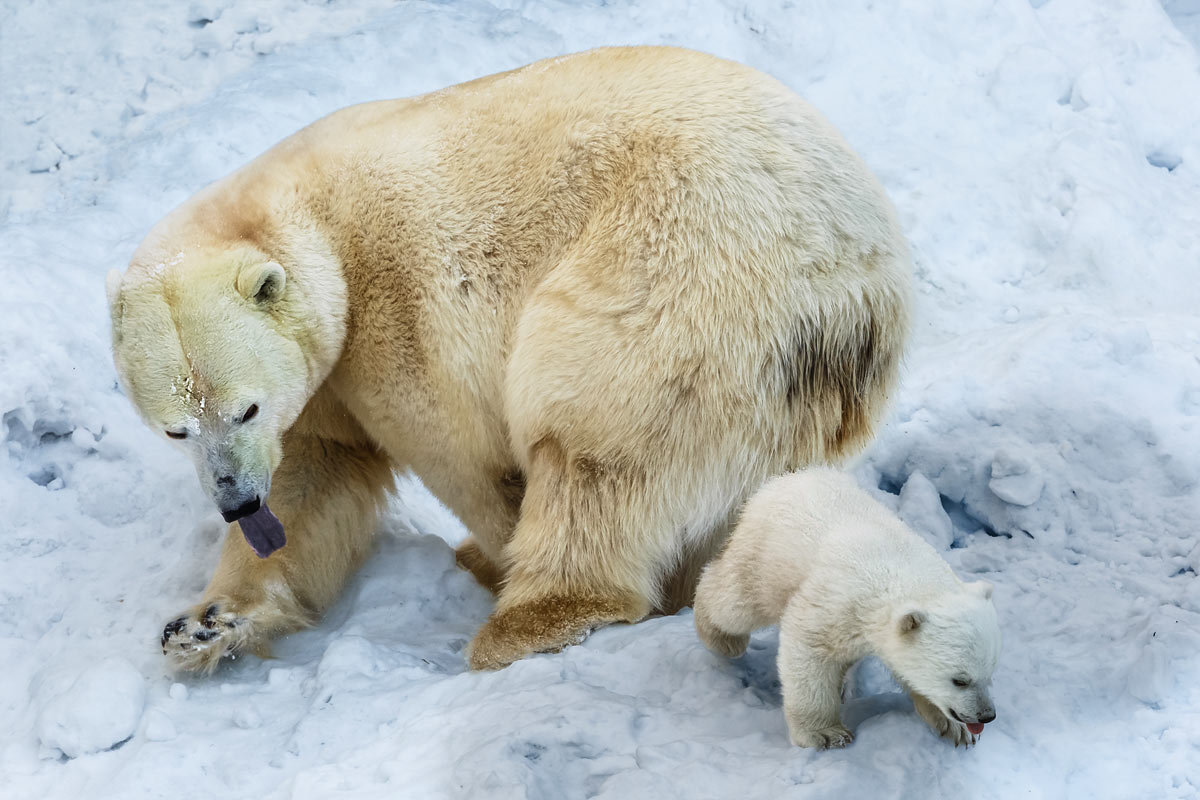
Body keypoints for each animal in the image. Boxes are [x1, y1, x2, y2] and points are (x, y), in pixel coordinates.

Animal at [110, 47, 907, 671]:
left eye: (243, 407)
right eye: (177, 428)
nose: (236, 500)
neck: (309, 224)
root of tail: (851, 285)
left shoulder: (395, 313)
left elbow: (466, 460)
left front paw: (495, 553)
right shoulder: (315, 385)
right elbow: (315, 478)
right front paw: (205, 624)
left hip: (676, 273)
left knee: (595, 438)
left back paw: (525, 617)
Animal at [691, 470, 998, 753]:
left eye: (990, 673)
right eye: (959, 680)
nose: (987, 715)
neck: (905, 572)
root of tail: (785, 478)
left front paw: (957, 729)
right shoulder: (839, 603)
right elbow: (809, 649)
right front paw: (825, 734)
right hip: (766, 557)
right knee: (737, 602)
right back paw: (722, 638)